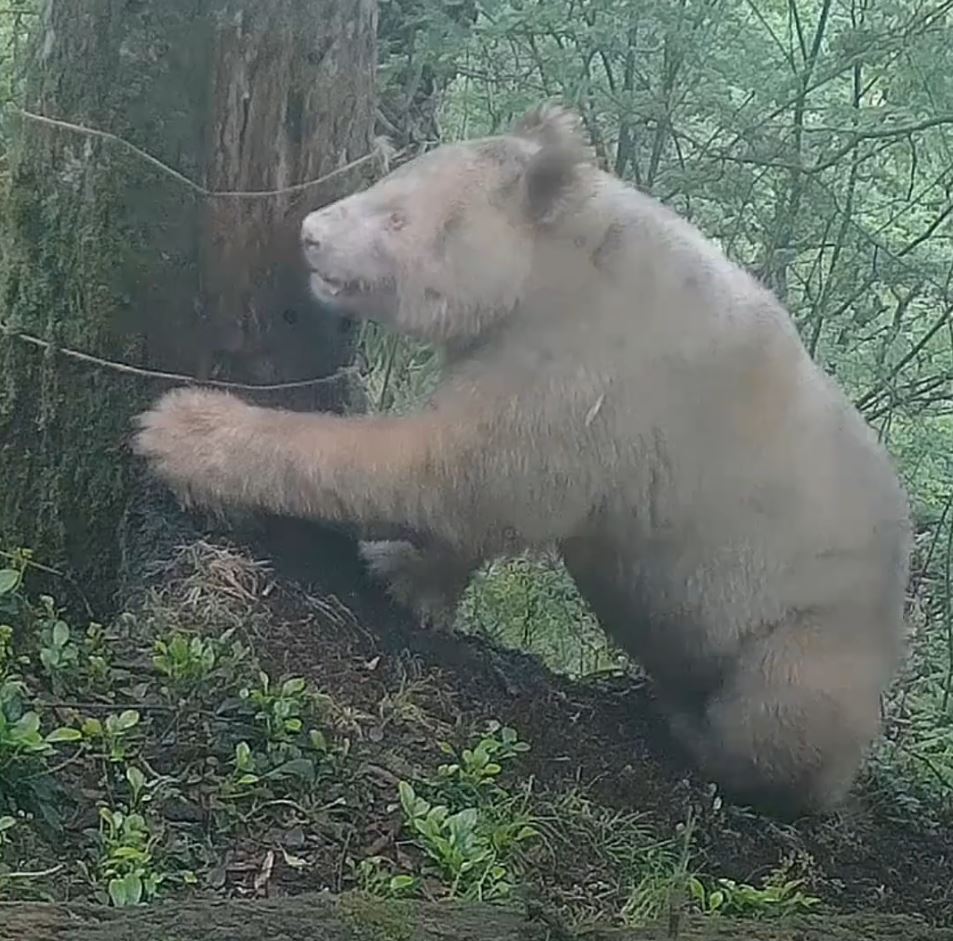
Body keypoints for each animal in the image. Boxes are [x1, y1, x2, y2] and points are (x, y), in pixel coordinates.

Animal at [133, 103, 912, 818]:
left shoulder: (598, 366)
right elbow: (478, 495)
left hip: (813, 624)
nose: (310, 234)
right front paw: (410, 578)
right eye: (386, 179)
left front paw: (184, 432)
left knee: (778, 714)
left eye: (396, 216)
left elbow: (454, 469)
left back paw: (698, 733)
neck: (565, 248)